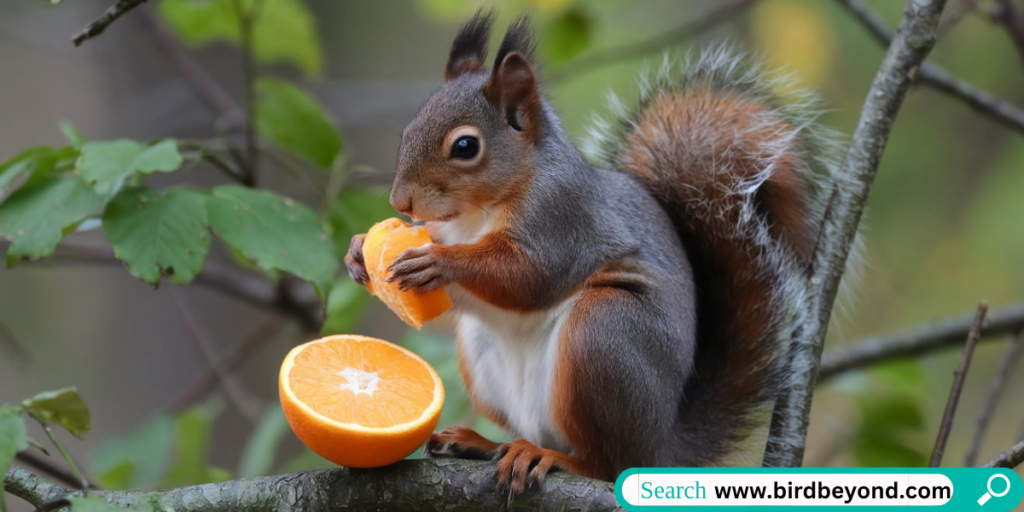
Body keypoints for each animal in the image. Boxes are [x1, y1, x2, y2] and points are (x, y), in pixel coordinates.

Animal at [344, 11, 847, 491]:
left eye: (465, 146)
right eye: (409, 128)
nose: (401, 202)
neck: (477, 212)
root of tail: (658, 446)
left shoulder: (562, 219)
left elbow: (528, 276)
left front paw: (439, 262)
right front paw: (357, 253)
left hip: (604, 334)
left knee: (604, 463)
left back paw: (545, 456)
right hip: (487, 361)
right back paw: (482, 443)